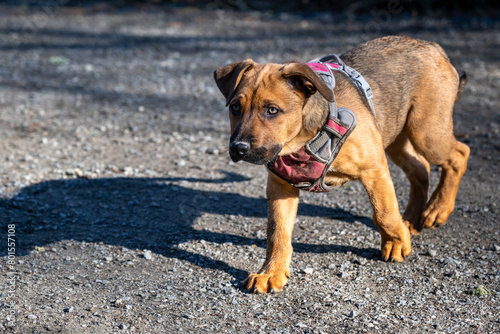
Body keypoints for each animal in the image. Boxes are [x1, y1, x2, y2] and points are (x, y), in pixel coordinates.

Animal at [214, 35, 468, 294]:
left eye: (272, 110)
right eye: (235, 107)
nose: (238, 148)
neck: (301, 140)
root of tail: (432, 46)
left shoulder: (373, 167)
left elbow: (384, 212)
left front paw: (397, 244)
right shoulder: (280, 186)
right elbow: (277, 232)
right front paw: (271, 272)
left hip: (426, 132)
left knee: (458, 154)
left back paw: (437, 210)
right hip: (397, 138)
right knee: (421, 168)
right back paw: (412, 219)